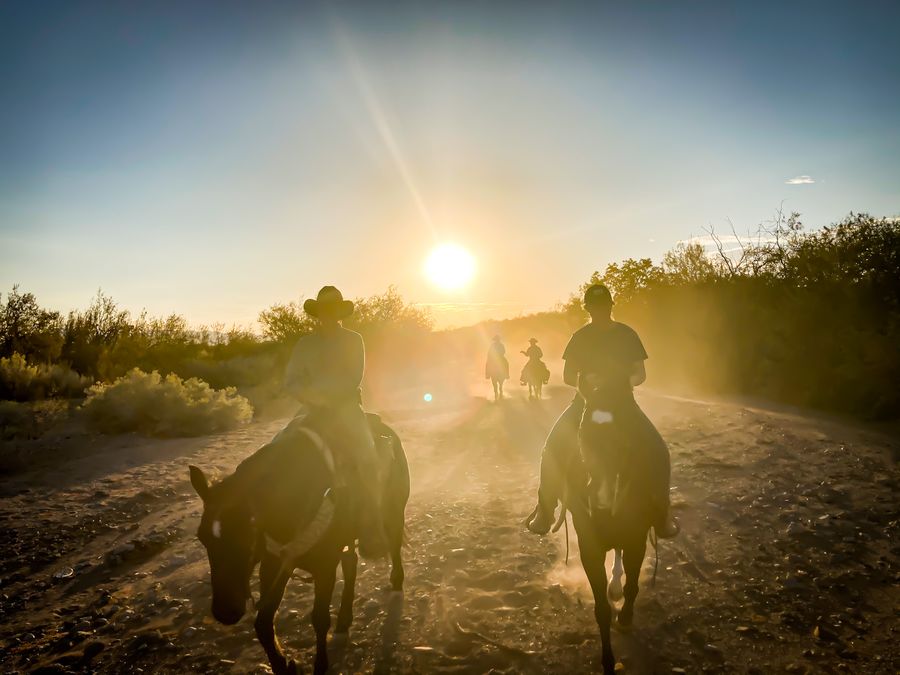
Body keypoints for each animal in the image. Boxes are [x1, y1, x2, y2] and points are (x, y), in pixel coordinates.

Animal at [193, 414, 412, 672]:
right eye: (202, 537)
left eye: (247, 534)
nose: (225, 612)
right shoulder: (275, 564)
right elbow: (263, 622)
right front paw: (284, 664)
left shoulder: (324, 568)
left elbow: (319, 619)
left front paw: (320, 665)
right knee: (351, 564)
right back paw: (343, 622)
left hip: (393, 514)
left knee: (393, 547)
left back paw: (395, 585)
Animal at [560, 388, 664, 672]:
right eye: (582, 432)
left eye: (623, 434)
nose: (602, 498)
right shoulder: (590, 548)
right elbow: (602, 609)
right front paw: (607, 661)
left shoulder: (636, 539)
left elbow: (632, 586)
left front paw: (626, 619)